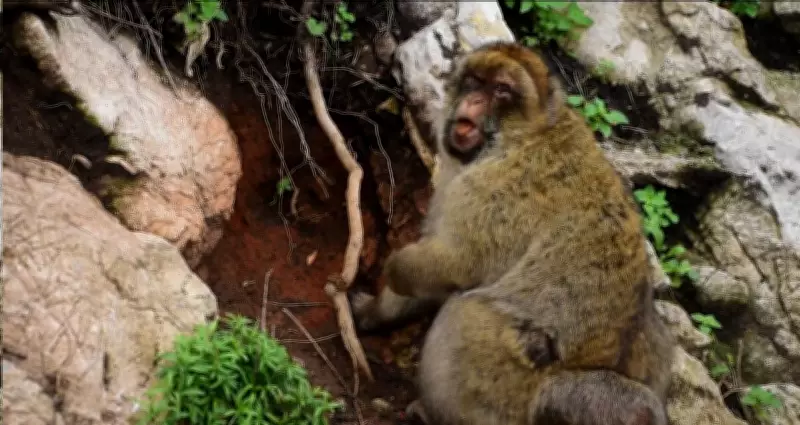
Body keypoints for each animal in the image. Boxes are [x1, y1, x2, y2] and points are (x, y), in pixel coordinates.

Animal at [350, 41, 677, 425]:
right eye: (475, 81)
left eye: (501, 90)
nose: (474, 100)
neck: (528, 133)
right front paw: (374, 312)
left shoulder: (491, 189)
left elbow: (453, 264)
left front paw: (395, 270)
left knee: (466, 311)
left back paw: (432, 413)